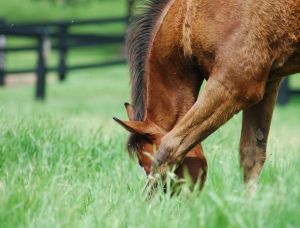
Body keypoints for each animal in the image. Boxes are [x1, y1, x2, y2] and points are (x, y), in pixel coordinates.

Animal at [116, 0, 298, 193]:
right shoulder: (267, 84)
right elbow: (252, 154)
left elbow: (171, 145)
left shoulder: (235, 84)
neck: (188, 18)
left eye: (146, 162)